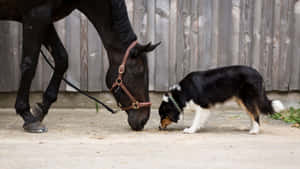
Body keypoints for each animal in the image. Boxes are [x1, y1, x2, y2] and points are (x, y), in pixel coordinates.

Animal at [0, 0, 161, 132]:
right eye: (139, 72)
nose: (143, 120)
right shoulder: (36, 15)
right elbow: (29, 64)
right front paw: (27, 116)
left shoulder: (45, 17)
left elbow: (62, 59)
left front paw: (41, 109)